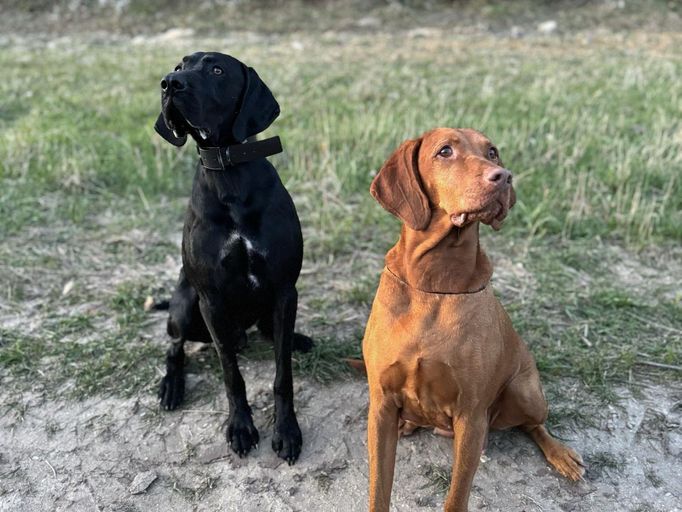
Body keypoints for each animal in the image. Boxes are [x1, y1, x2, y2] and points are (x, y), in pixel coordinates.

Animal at [153, 51, 310, 464]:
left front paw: (287, 431)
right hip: (184, 306)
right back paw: (171, 386)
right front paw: (240, 427)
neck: (229, 173)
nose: (169, 83)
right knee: (174, 347)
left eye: (217, 69)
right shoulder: (211, 299)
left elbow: (282, 374)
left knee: (270, 332)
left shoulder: (284, 290)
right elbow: (231, 374)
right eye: (179, 67)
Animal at [364, 129, 580, 512]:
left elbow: (457, 495)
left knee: (534, 425)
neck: (435, 284)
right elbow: (379, 489)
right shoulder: (381, 406)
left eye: (492, 152)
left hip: (526, 392)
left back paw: (560, 453)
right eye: (444, 151)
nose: (504, 177)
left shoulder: (470, 414)